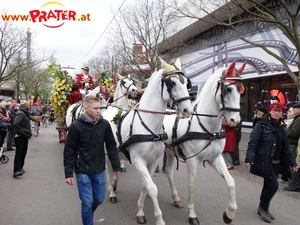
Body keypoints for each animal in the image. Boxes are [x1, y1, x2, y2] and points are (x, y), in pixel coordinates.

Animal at [115, 58, 192, 225]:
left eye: (186, 82)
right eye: (172, 83)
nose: (187, 111)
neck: (149, 127)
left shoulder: (153, 162)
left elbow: (145, 186)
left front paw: (140, 211)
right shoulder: (138, 161)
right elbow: (152, 188)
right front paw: (159, 219)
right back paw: (111, 191)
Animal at [164, 60, 246, 225]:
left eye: (241, 90)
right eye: (228, 89)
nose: (235, 121)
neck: (208, 128)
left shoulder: (216, 158)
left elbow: (231, 182)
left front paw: (229, 214)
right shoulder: (192, 160)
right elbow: (192, 186)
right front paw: (192, 215)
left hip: (170, 151)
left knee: (169, 172)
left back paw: (176, 199)